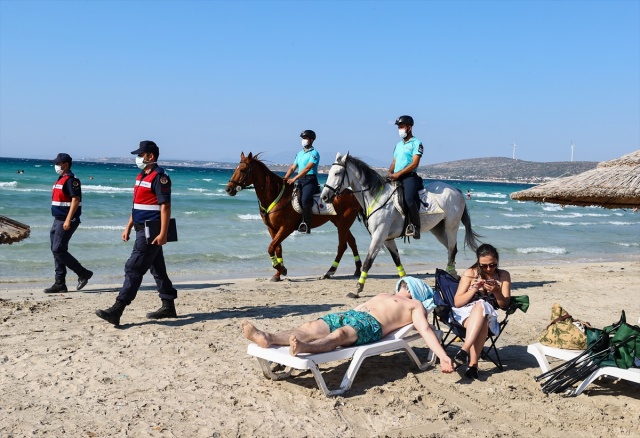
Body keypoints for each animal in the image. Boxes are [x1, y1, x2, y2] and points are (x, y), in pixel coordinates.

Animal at [228, 152, 362, 282]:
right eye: (235, 169)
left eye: (243, 170)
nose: (228, 189)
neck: (277, 196)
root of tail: (351, 193)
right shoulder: (272, 228)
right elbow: (277, 248)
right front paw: (278, 274)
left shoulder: (286, 228)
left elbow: (271, 247)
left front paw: (281, 269)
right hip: (339, 223)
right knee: (352, 242)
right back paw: (357, 270)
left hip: (343, 224)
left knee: (342, 246)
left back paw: (330, 272)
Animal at [320, 151, 480, 298]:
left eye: (337, 173)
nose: (324, 197)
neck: (376, 198)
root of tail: (456, 190)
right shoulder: (387, 239)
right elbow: (397, 259)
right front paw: (405, 283)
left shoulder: (379, 236)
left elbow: (368, 262)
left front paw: (358, 289)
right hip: (438, 230)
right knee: (451, 249)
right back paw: (453, 274)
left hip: (451, 226)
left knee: (452, 249)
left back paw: (449, 276)